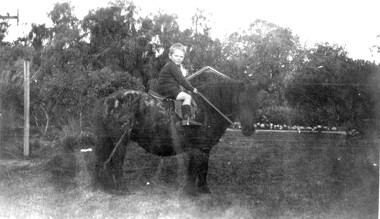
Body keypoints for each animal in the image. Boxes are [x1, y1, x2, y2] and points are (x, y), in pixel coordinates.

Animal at [93, 78, 258, 195]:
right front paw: (190, 192)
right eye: (240, 101)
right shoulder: (197, 148)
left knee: (103, 160)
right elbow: (195, 169)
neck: (206, 109)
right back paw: (122, 189)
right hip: (120, 140)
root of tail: (108, 99)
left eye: (255, 102)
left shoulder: (204, 148)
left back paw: (106, 186)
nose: (249, 129)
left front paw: (204, 189)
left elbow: (203, 168)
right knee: (116, 161)